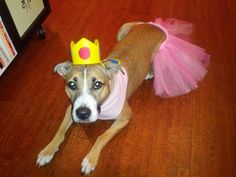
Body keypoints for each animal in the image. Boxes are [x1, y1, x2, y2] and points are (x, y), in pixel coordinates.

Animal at [36, 22, 166, 174]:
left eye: (97, 84)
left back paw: (150, 72)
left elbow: (102, 136)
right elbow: (60, 131)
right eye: (71, 84)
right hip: (122, 31)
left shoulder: (125, 116)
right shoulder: (71, 108)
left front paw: (90, 159)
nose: (82, 114)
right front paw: (47, 151)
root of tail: (151, 25)